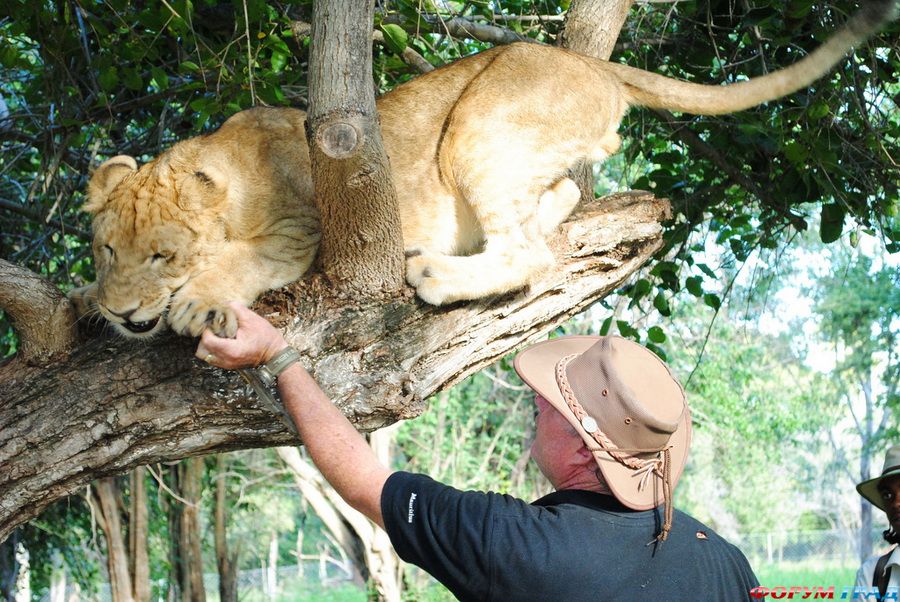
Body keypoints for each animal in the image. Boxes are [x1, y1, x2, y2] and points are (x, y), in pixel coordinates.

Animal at [70, 0, 892, 338]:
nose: (123, 314)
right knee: (552, 206)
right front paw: (85, 302)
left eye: (163, 256)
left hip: (476, 127)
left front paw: (196, 301)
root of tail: (594, 65)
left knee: (529, 255)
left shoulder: (305, 224)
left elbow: (245, 259)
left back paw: (435, 271)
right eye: (105, 251)